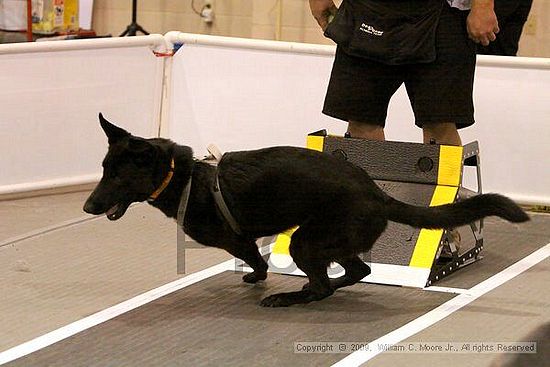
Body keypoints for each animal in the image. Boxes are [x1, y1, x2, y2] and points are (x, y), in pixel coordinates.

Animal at [83, 114, 532, 308]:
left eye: (117, 177)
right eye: (103, 169)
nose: (88, 206)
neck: (183, 176)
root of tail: (375, 192)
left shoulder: (236, 238)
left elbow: (253, 257)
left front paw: (259, 278)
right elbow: (255, 258)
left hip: (306, 241)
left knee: (325, 284)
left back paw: (291, 297)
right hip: (327, 242)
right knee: (356, 271)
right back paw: (315, 288)